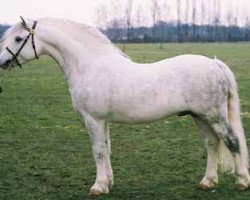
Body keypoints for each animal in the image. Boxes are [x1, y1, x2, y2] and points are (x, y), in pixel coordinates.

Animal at [0, 17, 249, 195]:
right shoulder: (103, 121)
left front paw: (98, 187)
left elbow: (98, 151)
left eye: (18, 39)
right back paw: (207, 182)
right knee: (212, 144)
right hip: (200, 116)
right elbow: (107, 149)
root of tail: (215, 64)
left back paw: (241, 181)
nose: (3, 62)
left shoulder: (93, 120)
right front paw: (108, 183)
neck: (89, 65)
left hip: (214, 116)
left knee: (232, 141)